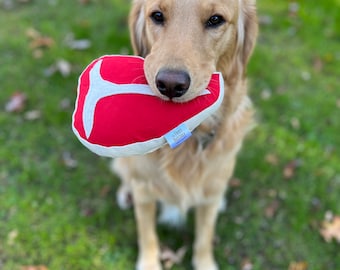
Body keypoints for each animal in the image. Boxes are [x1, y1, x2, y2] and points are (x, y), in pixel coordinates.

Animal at [111, 0, 258, 270]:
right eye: (157, 15)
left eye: (215, 19)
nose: (170, 85)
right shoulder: (144, 190)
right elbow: (147, 234)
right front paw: (149, 263)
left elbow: (204, 237)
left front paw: (205, 262)